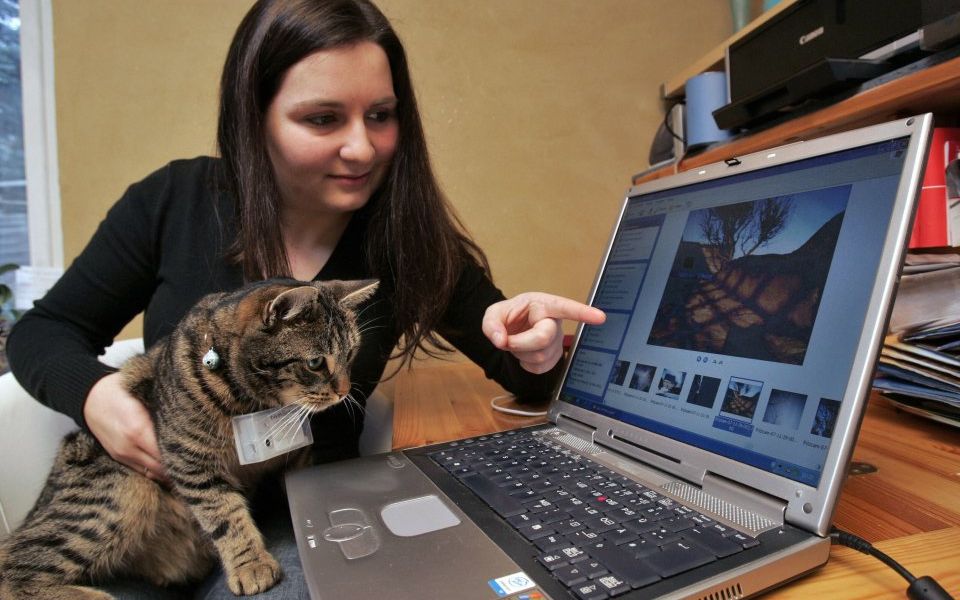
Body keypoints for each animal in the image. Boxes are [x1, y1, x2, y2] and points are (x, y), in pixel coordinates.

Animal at [0, 278, 377, 599]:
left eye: (350, 354)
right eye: (315, 363)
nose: (344, 391)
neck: (254, 401)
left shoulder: (299, 457)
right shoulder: (191, 460)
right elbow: (224, 514)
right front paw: (252, 563)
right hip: (121, 491)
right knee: (12, 568)